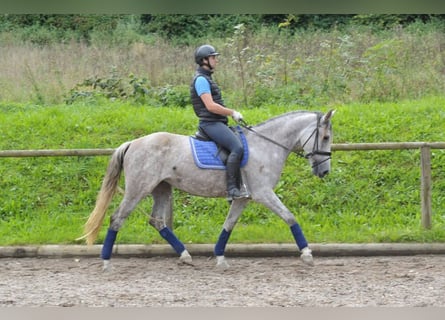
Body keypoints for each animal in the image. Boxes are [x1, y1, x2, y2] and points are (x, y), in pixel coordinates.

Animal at [77, 109, 332, 270]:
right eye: (326, 137)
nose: (324, 172)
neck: (266, 145)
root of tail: (132, 143)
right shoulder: (263, 193)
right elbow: (290, 217)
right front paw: (307, 254)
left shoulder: (243, 198)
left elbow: (228, 225)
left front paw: (220, 257)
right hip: (138, 189)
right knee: (117, 218)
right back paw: (106, 262)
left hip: (161, 188)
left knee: (157, 221)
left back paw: (185, 256)